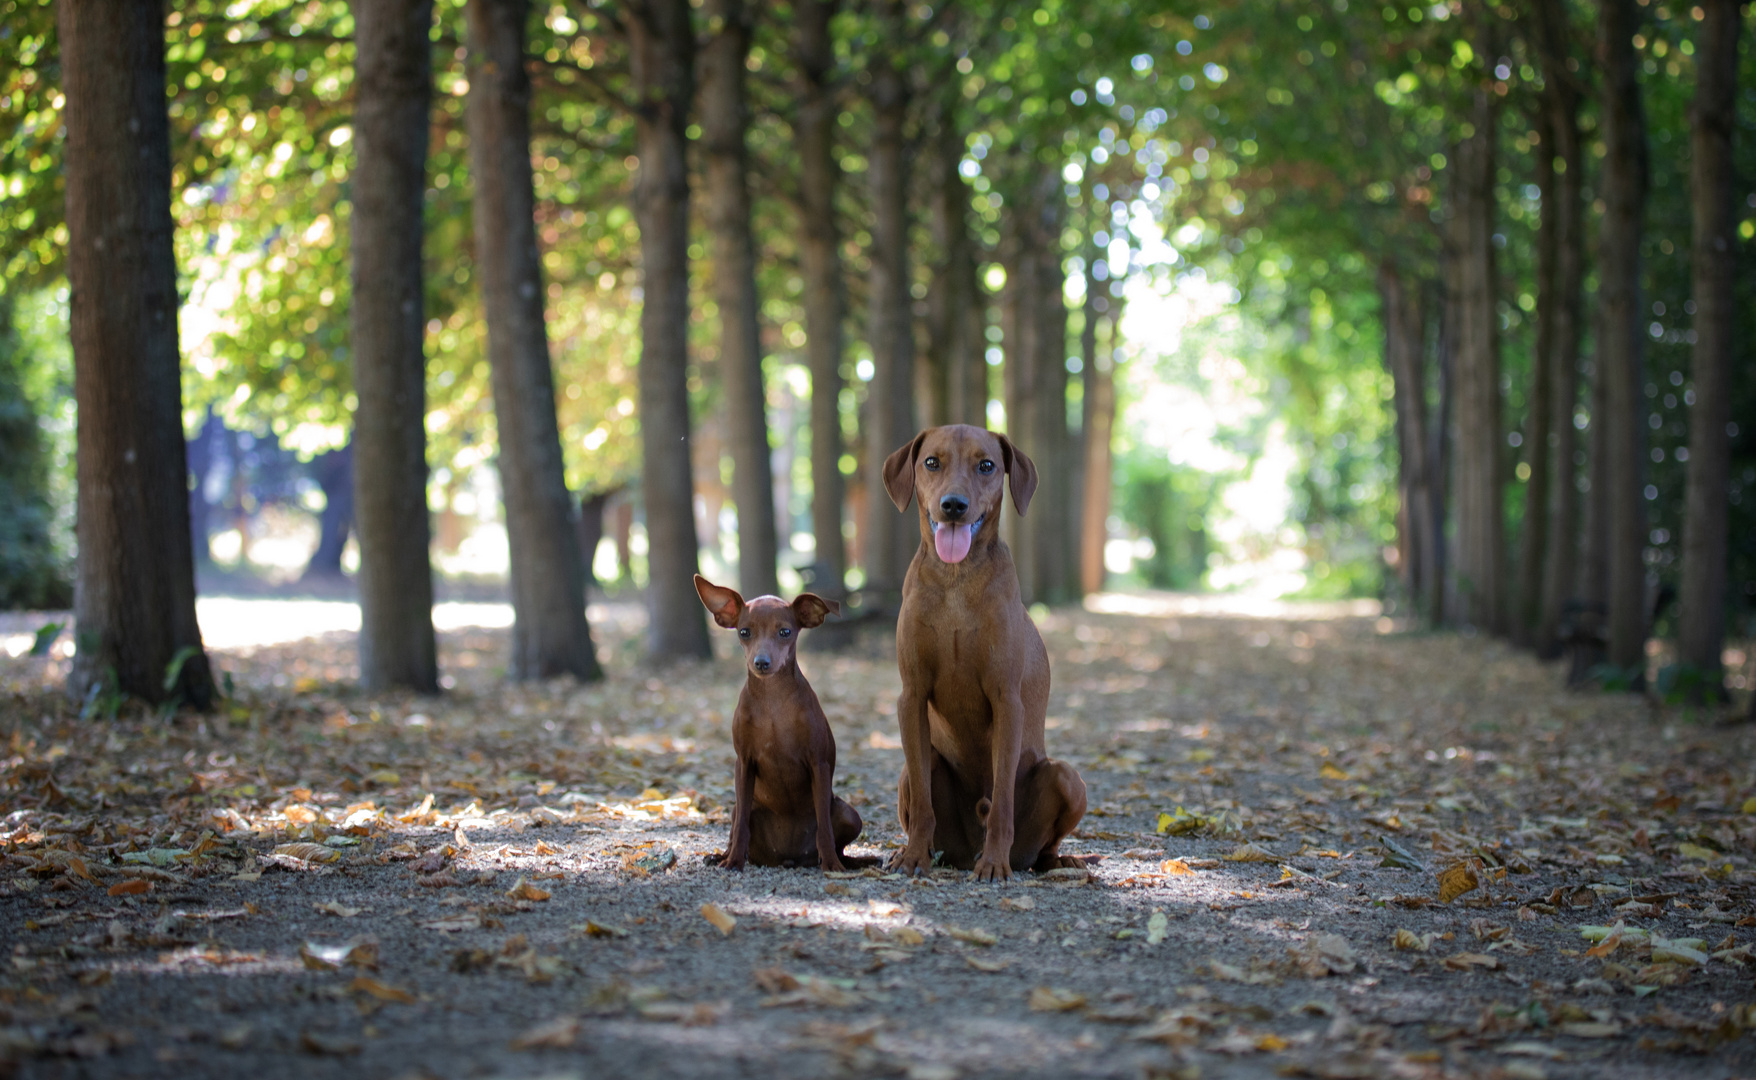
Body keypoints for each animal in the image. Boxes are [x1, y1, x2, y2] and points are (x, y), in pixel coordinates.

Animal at [695, 576, 867, 871]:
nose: (761, 663)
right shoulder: (744, 763)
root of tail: (786, 858)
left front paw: (831, 864)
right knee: (737, 823)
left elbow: (824, 825)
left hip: (849, 813)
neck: (772, 702)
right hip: (740, 808)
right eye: (744, 632)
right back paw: (722, 855)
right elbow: (741, 828)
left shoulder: (819, 763)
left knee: (837, 839)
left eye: (785, 632)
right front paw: (734, 861)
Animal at [878, 423, 1081, 878]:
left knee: (1045, 836)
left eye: (986, 465)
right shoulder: (911, 697)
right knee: (917, 787)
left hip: (1067, 778)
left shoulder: (1007, 701)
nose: (954, 505)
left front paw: (993, 864)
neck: (955, 580)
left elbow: (1003, 798)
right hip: (907, 776)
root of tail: (962, 851)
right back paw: (912, 852)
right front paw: (913, 856)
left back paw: (1053, 859)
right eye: (931, 462)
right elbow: (923, 802)